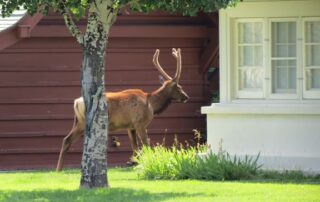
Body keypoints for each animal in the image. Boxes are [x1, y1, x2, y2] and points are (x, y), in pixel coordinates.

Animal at [56, 48, 189, 171]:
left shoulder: (130, 126)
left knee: (66, 140)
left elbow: (135, 147)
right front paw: (148, 164)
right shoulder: (139, 122)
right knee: (71, 140)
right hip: (84, 122)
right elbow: (146, 144)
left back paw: (59, 169)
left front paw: (135, 163)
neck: (151, 104)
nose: (186, 97)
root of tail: (76, 102)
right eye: (179, 87)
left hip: (78, 122)